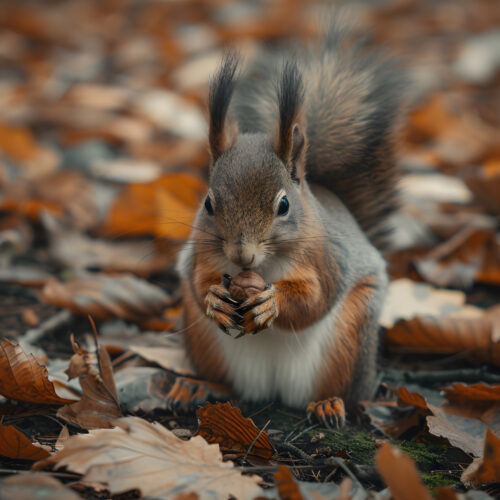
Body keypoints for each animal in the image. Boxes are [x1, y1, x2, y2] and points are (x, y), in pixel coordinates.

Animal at [172, 19, 406, 426]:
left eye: (283, 205)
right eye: (208, 203)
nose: (242, 255)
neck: (263, 266)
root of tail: (271, 389)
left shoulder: (327, 258)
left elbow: (315, 297)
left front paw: (273, 303)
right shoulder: (200, 253)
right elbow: (198, 279)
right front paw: (215, 297)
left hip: (351, 337)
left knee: (344, 389)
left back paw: (329, 404)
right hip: (204, 344)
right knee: (221, 379)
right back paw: (197, 386)